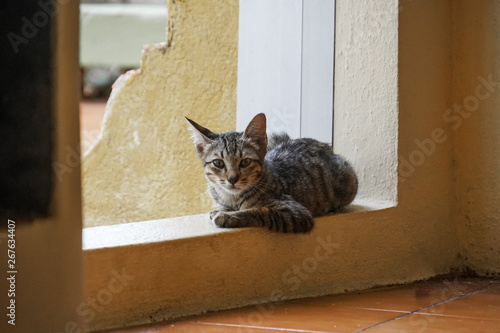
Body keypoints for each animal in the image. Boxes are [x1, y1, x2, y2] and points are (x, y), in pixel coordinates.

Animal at [186, 113, 358, 232]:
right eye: (218, 163)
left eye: (245, 162)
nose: (232, 179)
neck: (232, 198)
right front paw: (221, 210)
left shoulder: (296, 212)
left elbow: (259, 211)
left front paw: (229, 216)